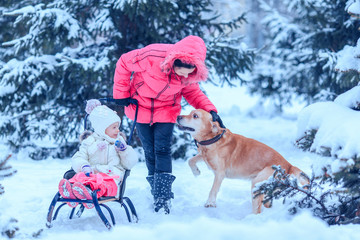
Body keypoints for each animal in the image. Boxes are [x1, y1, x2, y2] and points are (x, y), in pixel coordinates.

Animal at [176, 109, 308, 214]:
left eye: (195, 116)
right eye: (190, 112)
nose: (178, 117)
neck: (213, 139)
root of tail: (289, 166)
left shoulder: (220, 173)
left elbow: (213, 190)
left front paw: (210, 203)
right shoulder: (203, 156)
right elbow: (190, 160)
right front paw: (196, 171)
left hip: (256, 183)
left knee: (257, 209)